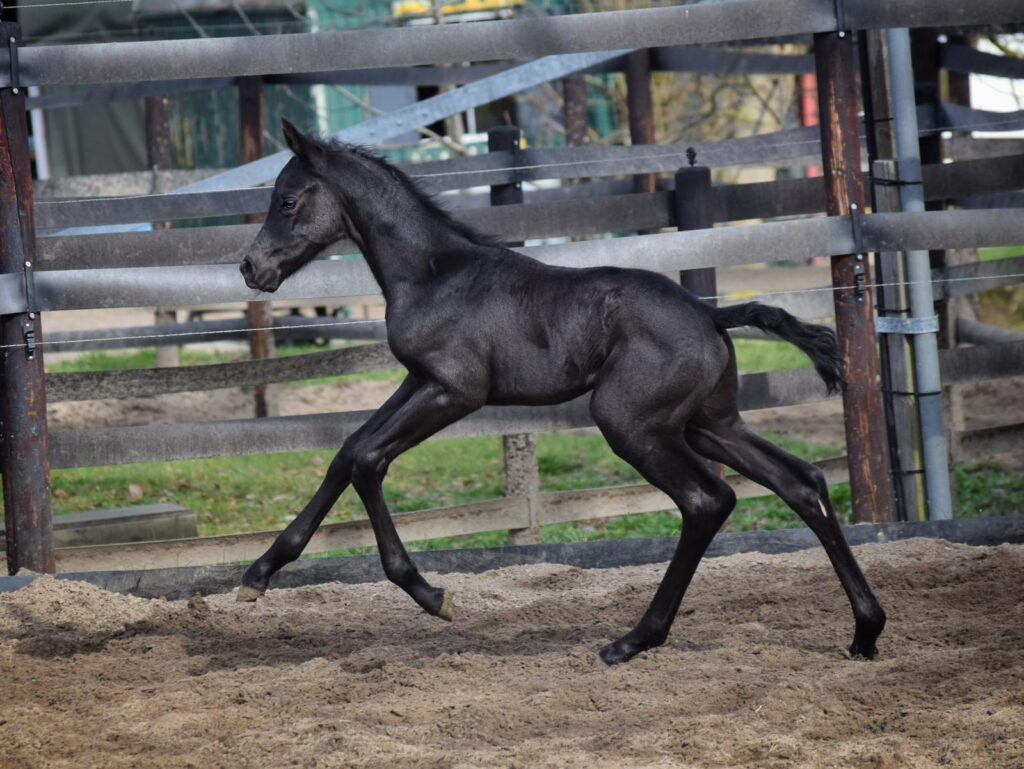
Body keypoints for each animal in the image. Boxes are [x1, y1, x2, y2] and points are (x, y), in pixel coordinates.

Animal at [235, 121, 884, 667]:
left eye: (287, 200)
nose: (249, 268)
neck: (434, 274)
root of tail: (710, 314)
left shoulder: (454, 391)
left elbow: (369, 460)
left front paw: (430, 593)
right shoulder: (417, 381)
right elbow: (347, 451)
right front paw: (258, 574)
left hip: (630, 423)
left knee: (707, 501)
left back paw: (632, 640)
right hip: (711, 424)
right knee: (802, 483)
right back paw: (866, 631)